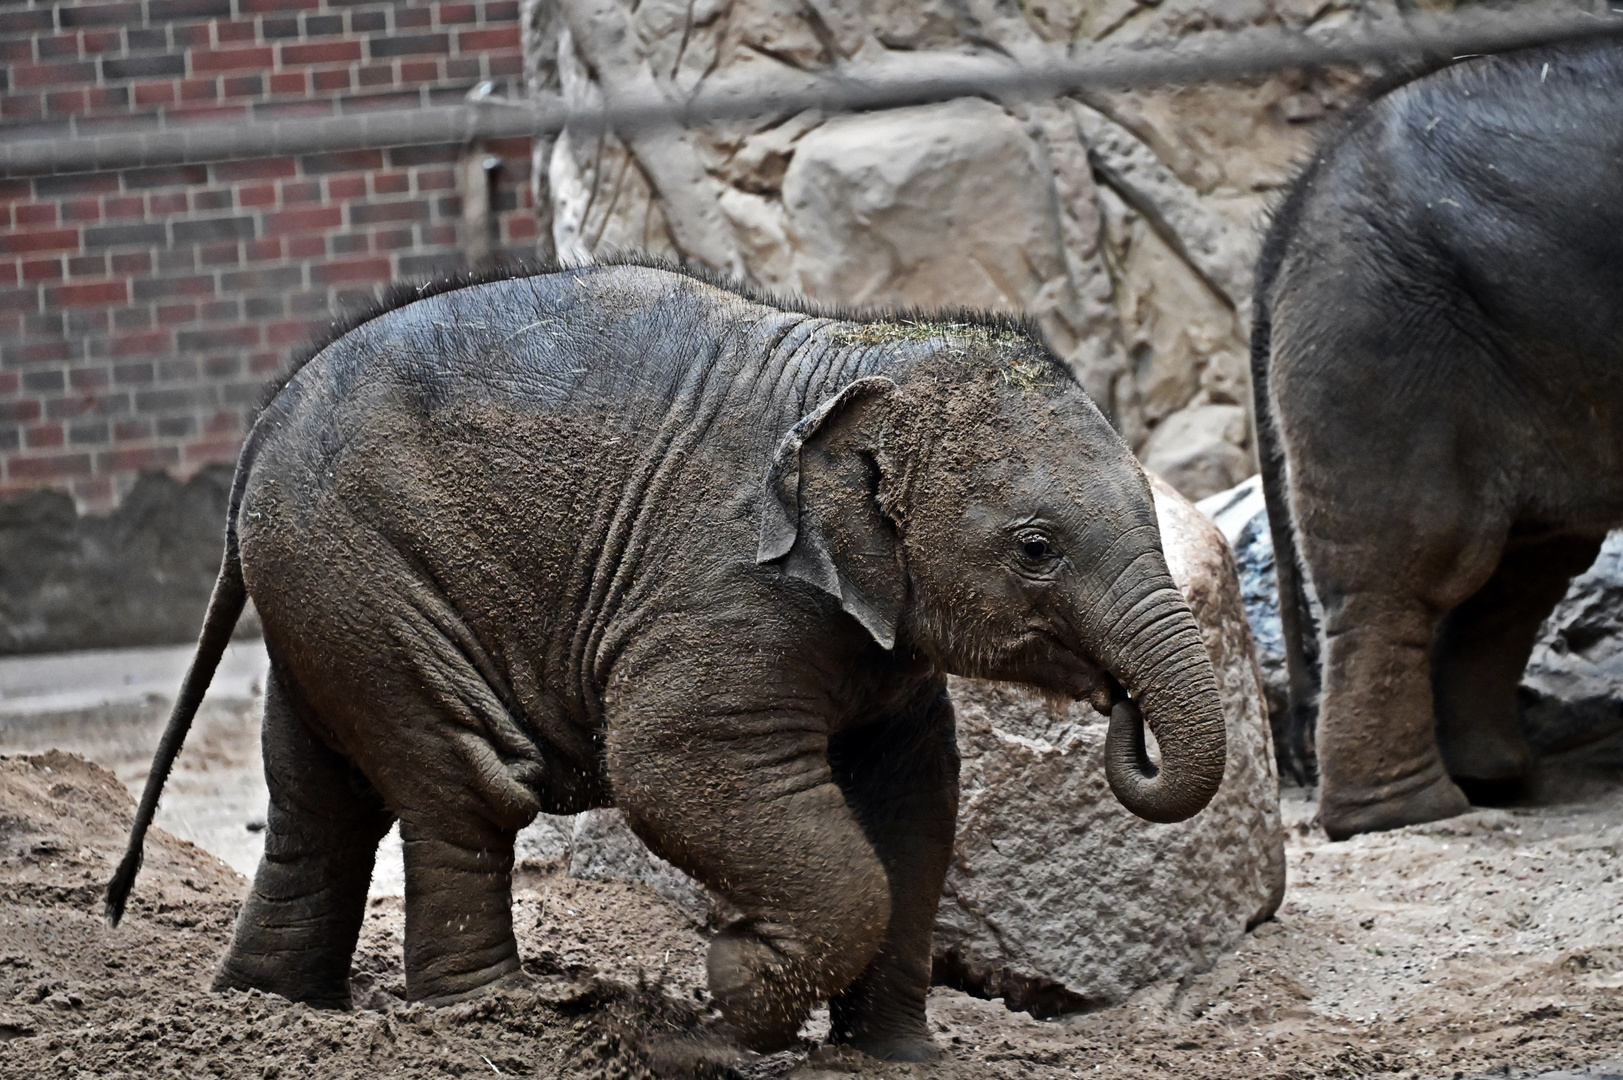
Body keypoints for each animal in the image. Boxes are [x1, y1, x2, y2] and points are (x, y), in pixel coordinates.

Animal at [107, 263, 1220, 1058]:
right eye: (1036, 548)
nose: (1122, 708)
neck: (860, 353)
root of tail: (259, 430)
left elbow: (917, 802)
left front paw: (898, 1058)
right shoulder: (720, 589)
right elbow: (671, 764)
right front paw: (736, 989)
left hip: (323, 598)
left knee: (318, 796)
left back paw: (273, 1010)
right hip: (371, 578)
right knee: (464, 784)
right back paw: (492, 1013)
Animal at [1252, 44, 1623, 844]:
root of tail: (1290, 209)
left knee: (1519, 568)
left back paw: (1493, 778)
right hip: (1382, 334)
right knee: (1406, 568)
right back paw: (1410, 812)